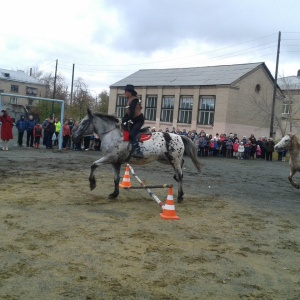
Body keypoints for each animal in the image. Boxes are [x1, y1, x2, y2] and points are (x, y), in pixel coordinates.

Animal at [71, 109, 200, 203]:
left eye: (84, 122)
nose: (74, 137)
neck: (112, 134)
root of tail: (179, 136)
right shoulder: (115, 162)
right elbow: (116, 179)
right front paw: (114, 194)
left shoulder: (109, 158)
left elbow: (93, 165)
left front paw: (92, 184)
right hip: (166, 159)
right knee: (181, 167)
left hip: (174, 160)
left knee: (180, 176)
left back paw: (180, 196)